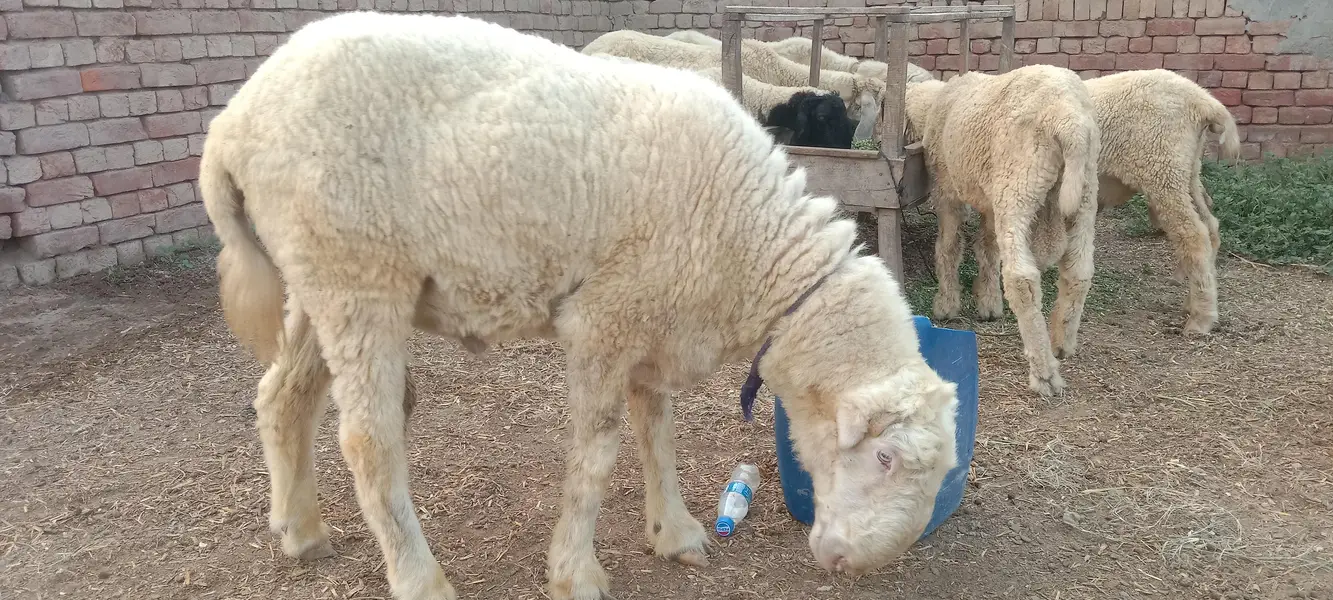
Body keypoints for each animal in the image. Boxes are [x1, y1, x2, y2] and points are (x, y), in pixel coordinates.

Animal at [202, 11, 961, 600]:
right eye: (884, 458)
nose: (848, 562)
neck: (750, 244)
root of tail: (233, 121)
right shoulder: (604, 319)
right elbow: (595, 456)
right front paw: (575, 571)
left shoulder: (656, 315)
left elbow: (658, 432)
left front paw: (674, 532)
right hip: (358, 278)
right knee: (368, 439)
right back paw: (419, 578)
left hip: (315, 278)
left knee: (282, 396)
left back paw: (299, 530)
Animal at [903, 65, 1101, 398]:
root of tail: (1069, 121)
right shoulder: (989, 199)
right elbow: (987, 247)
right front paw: (988, 301)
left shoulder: (947, 190)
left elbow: (949, 247)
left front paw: (946, 304)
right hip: (1084, 195)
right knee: (1079, 273)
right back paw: (1060, 343)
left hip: (1019, 186)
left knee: (1022, 279)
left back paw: (1044, 372)